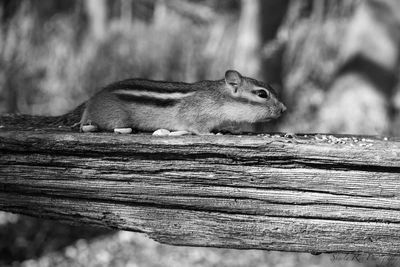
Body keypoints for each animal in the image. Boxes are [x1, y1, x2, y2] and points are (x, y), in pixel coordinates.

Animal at [79, 70, 286, 135]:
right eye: (262, 94)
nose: (284, 109)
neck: (219, 98)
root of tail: (93, 99)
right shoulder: (197, 115)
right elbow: (198, 128)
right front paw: (210, 134)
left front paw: (228, 128)